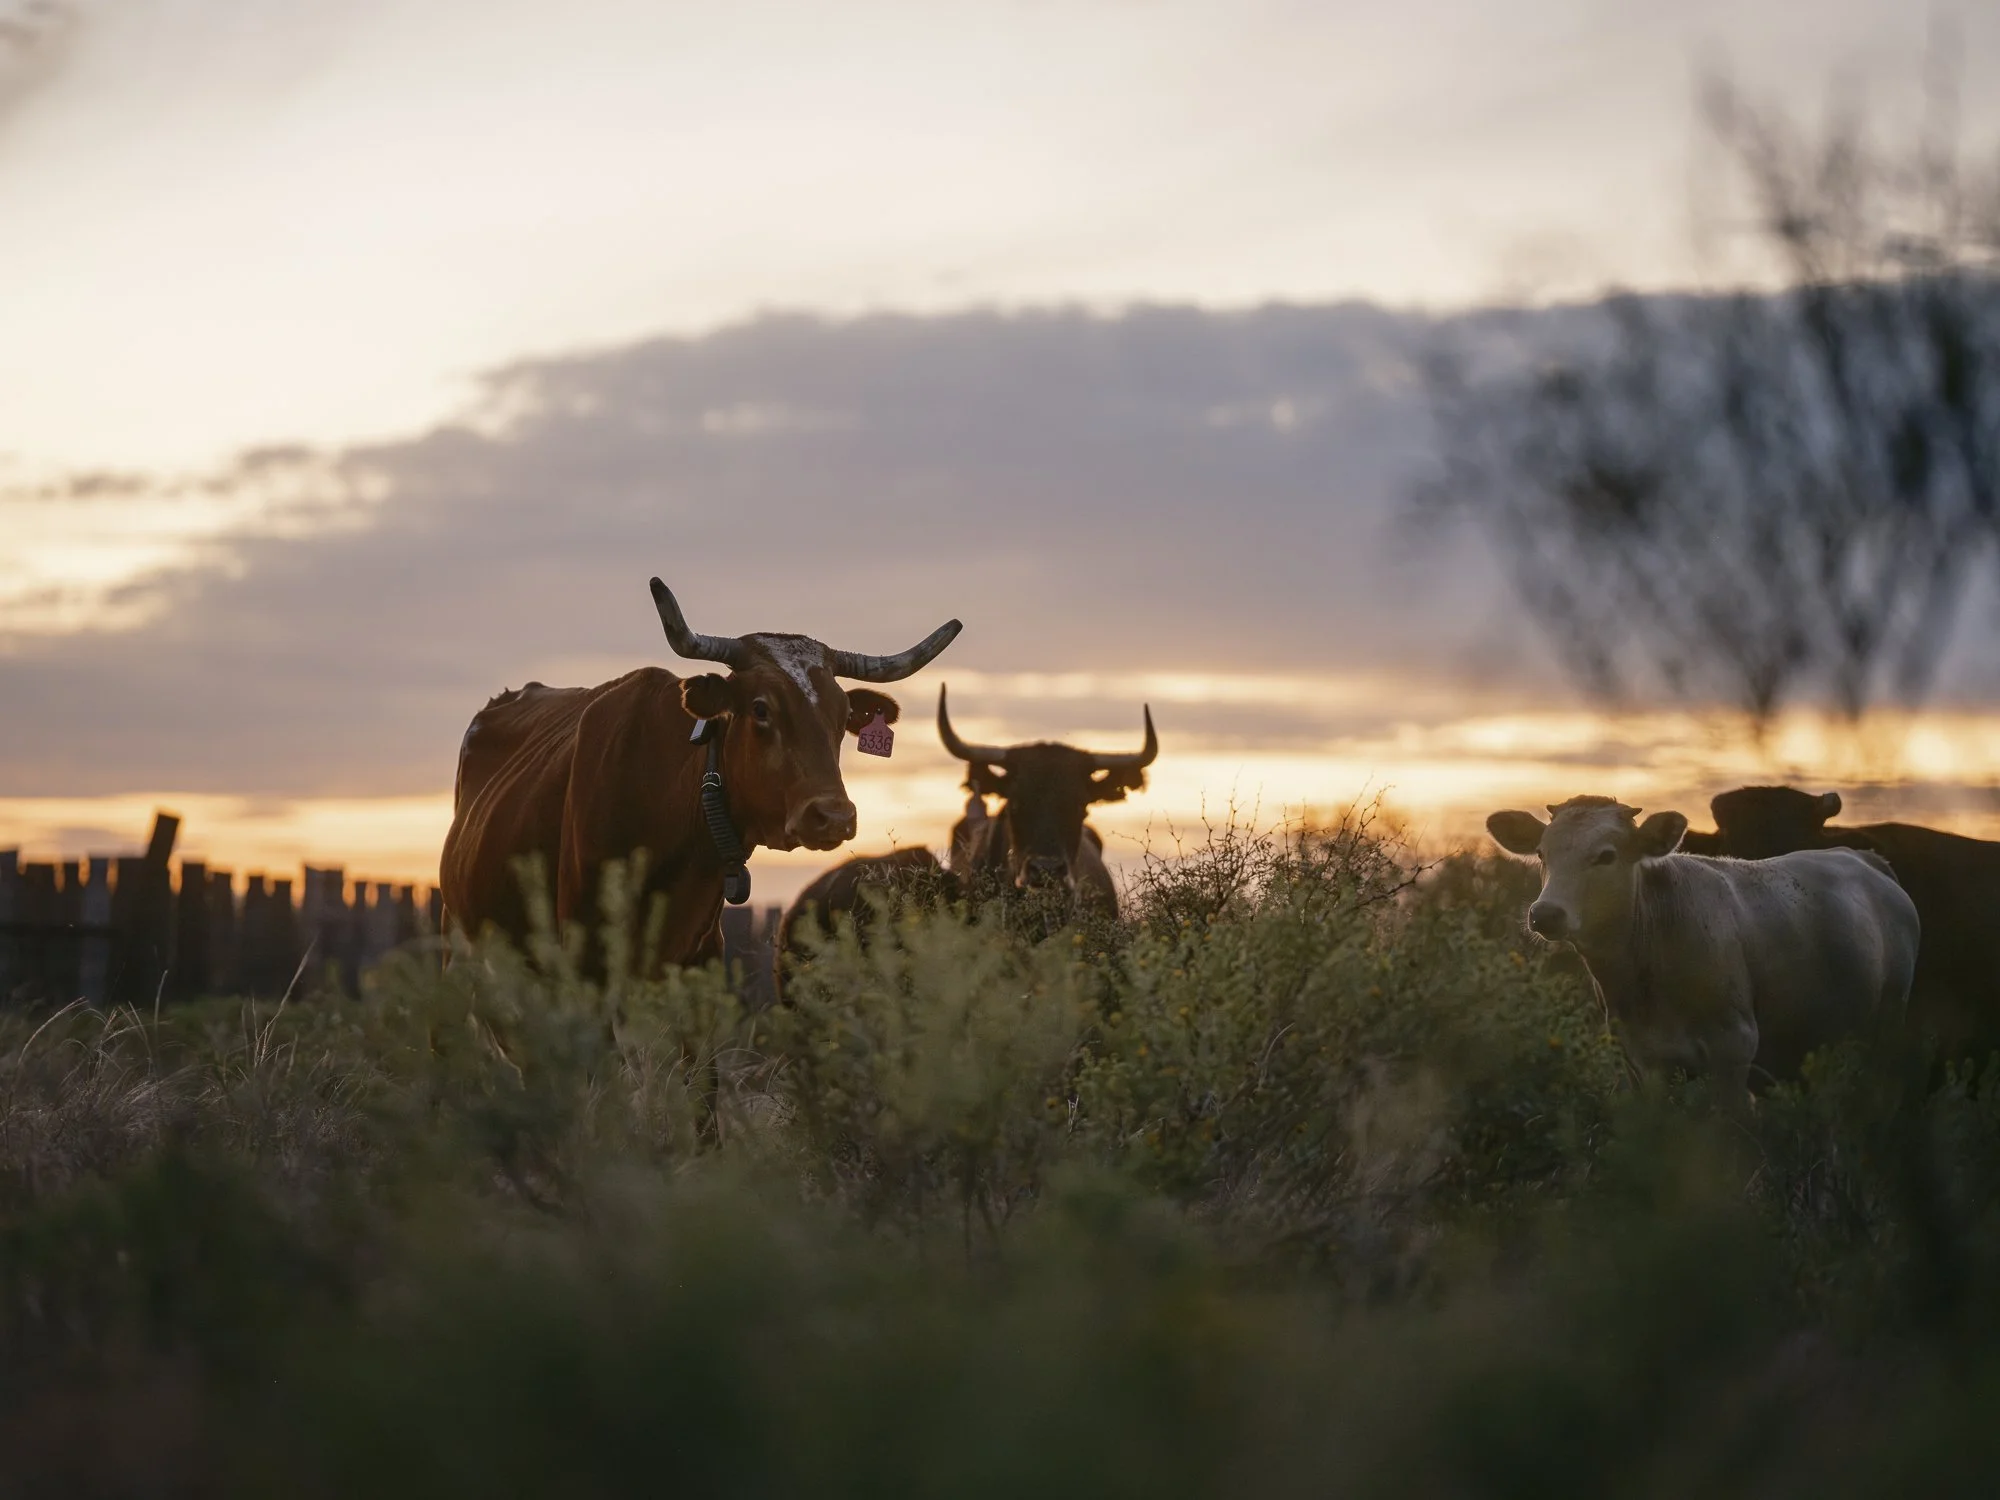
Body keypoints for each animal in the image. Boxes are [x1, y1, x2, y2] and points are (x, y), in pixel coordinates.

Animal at [1486, 795, 1919, 1100]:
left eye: (1606, 856)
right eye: (1541, 853)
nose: (1545, 913)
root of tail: (1861, 856)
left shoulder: (1734, 1050)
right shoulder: (1641, 1063)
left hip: (1890, 1022)